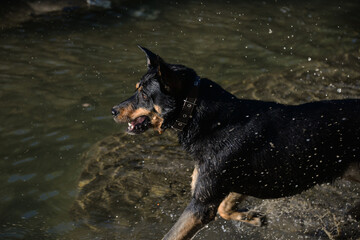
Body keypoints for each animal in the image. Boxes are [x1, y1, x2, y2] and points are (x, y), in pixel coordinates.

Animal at [112, 47, 360, 240]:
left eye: (144, 95)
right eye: (136, 90)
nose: (113, 110)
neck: (203, 116)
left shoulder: (202, 203)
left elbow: (172, 234)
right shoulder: (231, 183)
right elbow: (224, 208)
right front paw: (251, 217)